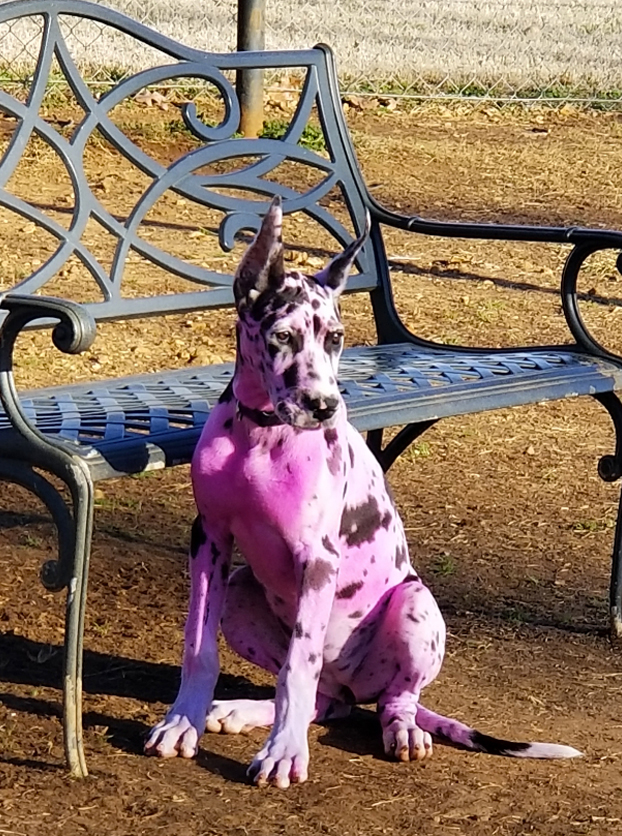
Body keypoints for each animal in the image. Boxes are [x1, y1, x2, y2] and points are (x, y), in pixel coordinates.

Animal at [147, 199, 584, 788]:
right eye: (282, 336)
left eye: (335, 337)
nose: (324, 406)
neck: (261, 434)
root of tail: (356, 685)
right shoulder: (209, 538)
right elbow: (198, 645)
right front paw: (182, 722)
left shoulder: (318, 559)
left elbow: (297, 667)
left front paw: (284, 753)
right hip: (241, 588)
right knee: (325, 700)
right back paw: (242, 710)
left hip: (416, 607)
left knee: (387, 697)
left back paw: (401, 731)